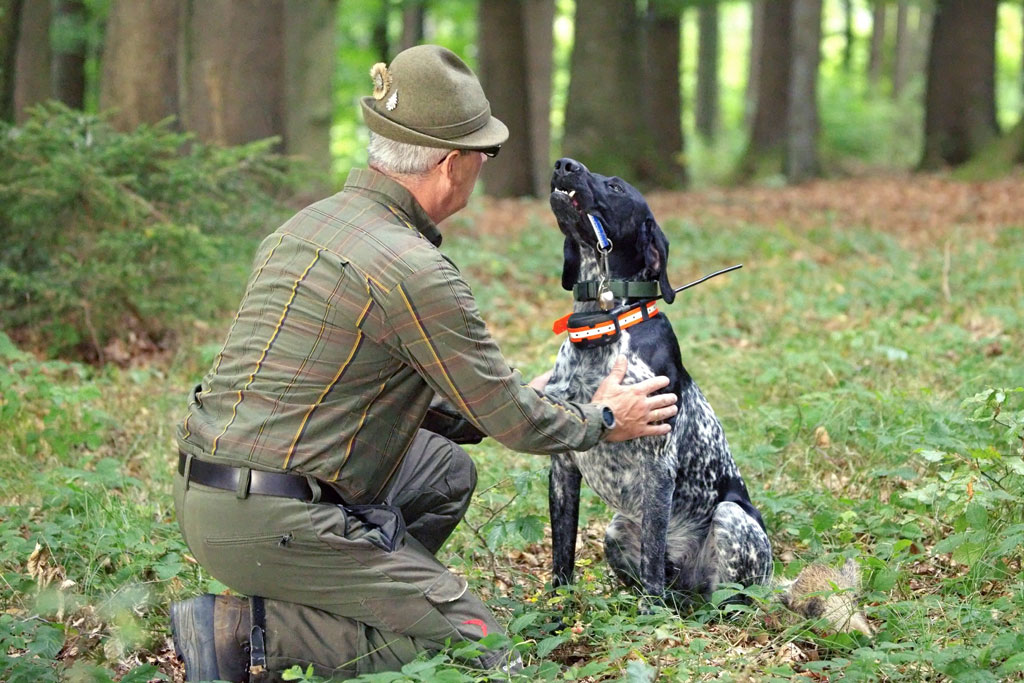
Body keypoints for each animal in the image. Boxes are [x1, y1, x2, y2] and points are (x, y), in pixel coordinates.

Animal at [544, 158, 770, 602]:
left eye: (615, 186)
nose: (564, 164)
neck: (602, 325)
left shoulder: (657, 467)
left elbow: (652, 555)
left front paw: (650, 613)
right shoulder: (562, 466)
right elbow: (563, 553)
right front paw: (556, 606)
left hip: (732, 519)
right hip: (616, 529)